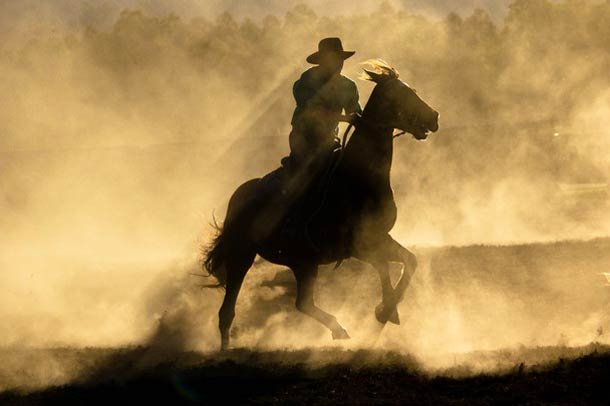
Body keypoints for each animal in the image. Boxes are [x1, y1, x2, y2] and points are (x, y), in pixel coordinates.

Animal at [204, 59, 436, 348]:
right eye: (402, 95)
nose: (434, 117)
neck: (357, 178)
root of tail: (239, 195)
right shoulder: (359, 246)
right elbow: (383, 266)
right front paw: (385, 310)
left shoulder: (381, 237)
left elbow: (410, 260)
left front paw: (388, 310)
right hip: (242, 255)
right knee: (228, 310)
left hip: (304, 263)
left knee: (303, 303)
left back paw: (339, 329)